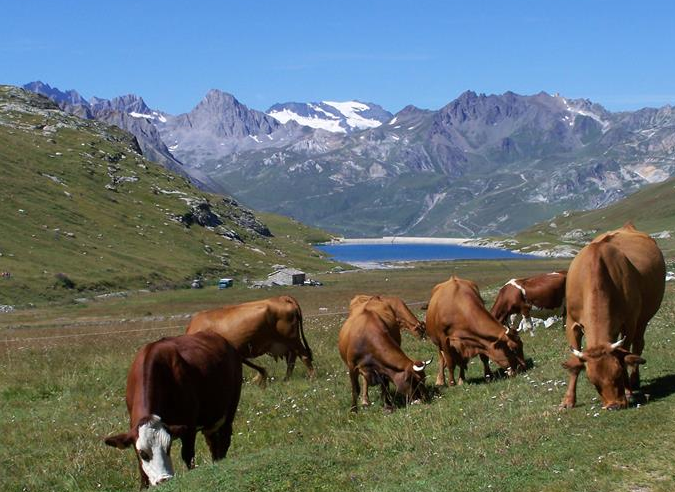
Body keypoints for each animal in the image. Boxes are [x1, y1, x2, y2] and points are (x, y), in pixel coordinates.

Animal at [104, 330, 242, 488]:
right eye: (143, 453)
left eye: (168, 447)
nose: (164, 479)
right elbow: (141, 468)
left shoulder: (189, 427)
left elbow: (188, 456)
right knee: (213, 443)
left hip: (230, 410)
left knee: (225, 439)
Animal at [186, 296, 316, 384]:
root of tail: (282, 298)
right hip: (287, 343)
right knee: (292, 359)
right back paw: (286, 379)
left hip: (292, 338)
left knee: (304, 356)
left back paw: (311, 377)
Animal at [560, 224, 664, 412]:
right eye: (593, 382)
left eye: (618, 375)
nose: (614, 406)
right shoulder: (571, 322)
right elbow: (575, 364)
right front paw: (568, 400)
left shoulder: (629, 322)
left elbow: (626, 354)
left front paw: (629, 392)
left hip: (643, 319)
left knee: (637, 347)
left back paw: (635, 383)